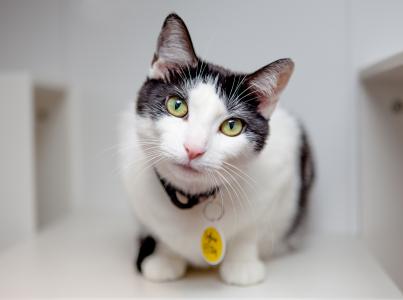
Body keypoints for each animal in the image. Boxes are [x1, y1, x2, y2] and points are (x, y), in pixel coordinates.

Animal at [119, 13, 316, 286]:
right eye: (177, 105)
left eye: (232, 126)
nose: (193, 149)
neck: (191, 198)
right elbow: (160, 233)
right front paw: (165, 258)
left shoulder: (281, 176)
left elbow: (249, 231)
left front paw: (242, 264)